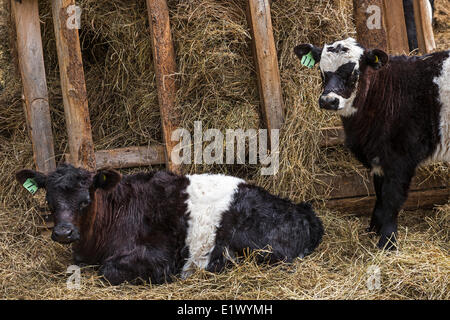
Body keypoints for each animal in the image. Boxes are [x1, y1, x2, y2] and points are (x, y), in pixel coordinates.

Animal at [14, 165, 324, 284]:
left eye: (85, 200)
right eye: (49, 200)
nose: (63, 232)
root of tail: (302, 209)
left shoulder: (159, 256)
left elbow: (108, 270)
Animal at [294, 38, 448, 250]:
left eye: (355, 73)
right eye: (322, 71)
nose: (328, 100)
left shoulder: (400, 158)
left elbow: (392, 199)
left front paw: (387, 242)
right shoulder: (378, 159)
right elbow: (380, 195)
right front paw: (374, 229)